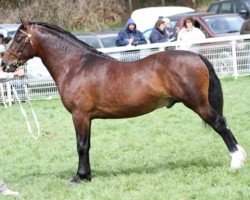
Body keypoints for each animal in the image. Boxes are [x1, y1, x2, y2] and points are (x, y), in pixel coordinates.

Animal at [0, 20, 246, 186]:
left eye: (19, 38)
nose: (5, 63)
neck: (76, 65)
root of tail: (196, 56)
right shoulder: (87, 118)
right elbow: (87, 145)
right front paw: (87, 176)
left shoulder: (79, 115)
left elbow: (80, 146)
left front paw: (79, 177)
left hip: (198, 104)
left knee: (220, 124)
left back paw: (237, 161)